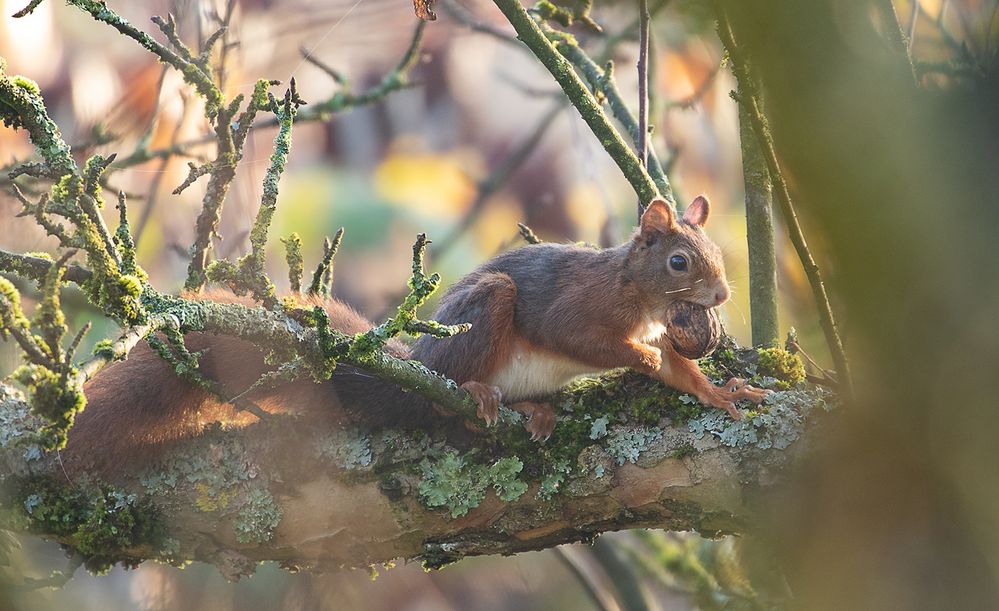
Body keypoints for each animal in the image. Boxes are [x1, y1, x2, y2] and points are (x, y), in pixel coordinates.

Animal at [66, 196, 768, 474]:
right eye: (679, 262)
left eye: (716, 254)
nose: (721, 297)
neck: (635, 293)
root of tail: (415, 364)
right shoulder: (579, 311)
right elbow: (596, 343)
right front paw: (670, 369)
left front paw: (714, 379)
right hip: (482, 315)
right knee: (448, 395)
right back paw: (478, 396)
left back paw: (536, 410)